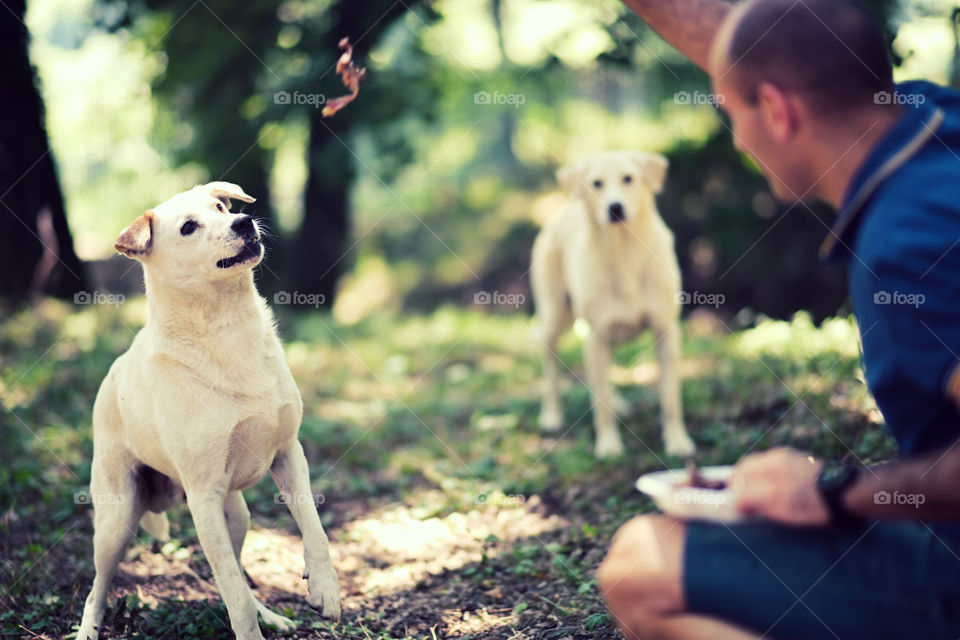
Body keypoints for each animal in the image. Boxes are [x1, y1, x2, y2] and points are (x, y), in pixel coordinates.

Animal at [78, 182, 342, 636]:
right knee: (97, 589)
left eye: (220, 207)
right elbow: (234, 594)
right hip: (118, 521)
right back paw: (86, 630)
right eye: (188, 227)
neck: (226, 326)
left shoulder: (290, 455)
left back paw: (273, 616)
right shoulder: (204, 498)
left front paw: (324, 589)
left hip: (236, 515)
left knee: (236, 575)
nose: (244, 221)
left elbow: (313, 529)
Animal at [528, 151, 692, 460]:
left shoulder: (666, 332)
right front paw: (608, 445)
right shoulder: (596, 336)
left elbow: (671, 399)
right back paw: (551, 415)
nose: (615, 208)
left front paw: (677, 441)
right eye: (597, 184)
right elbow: (600, 406)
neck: (624, 254)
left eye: (628, 178)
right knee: (550, 360)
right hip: (556, 317)